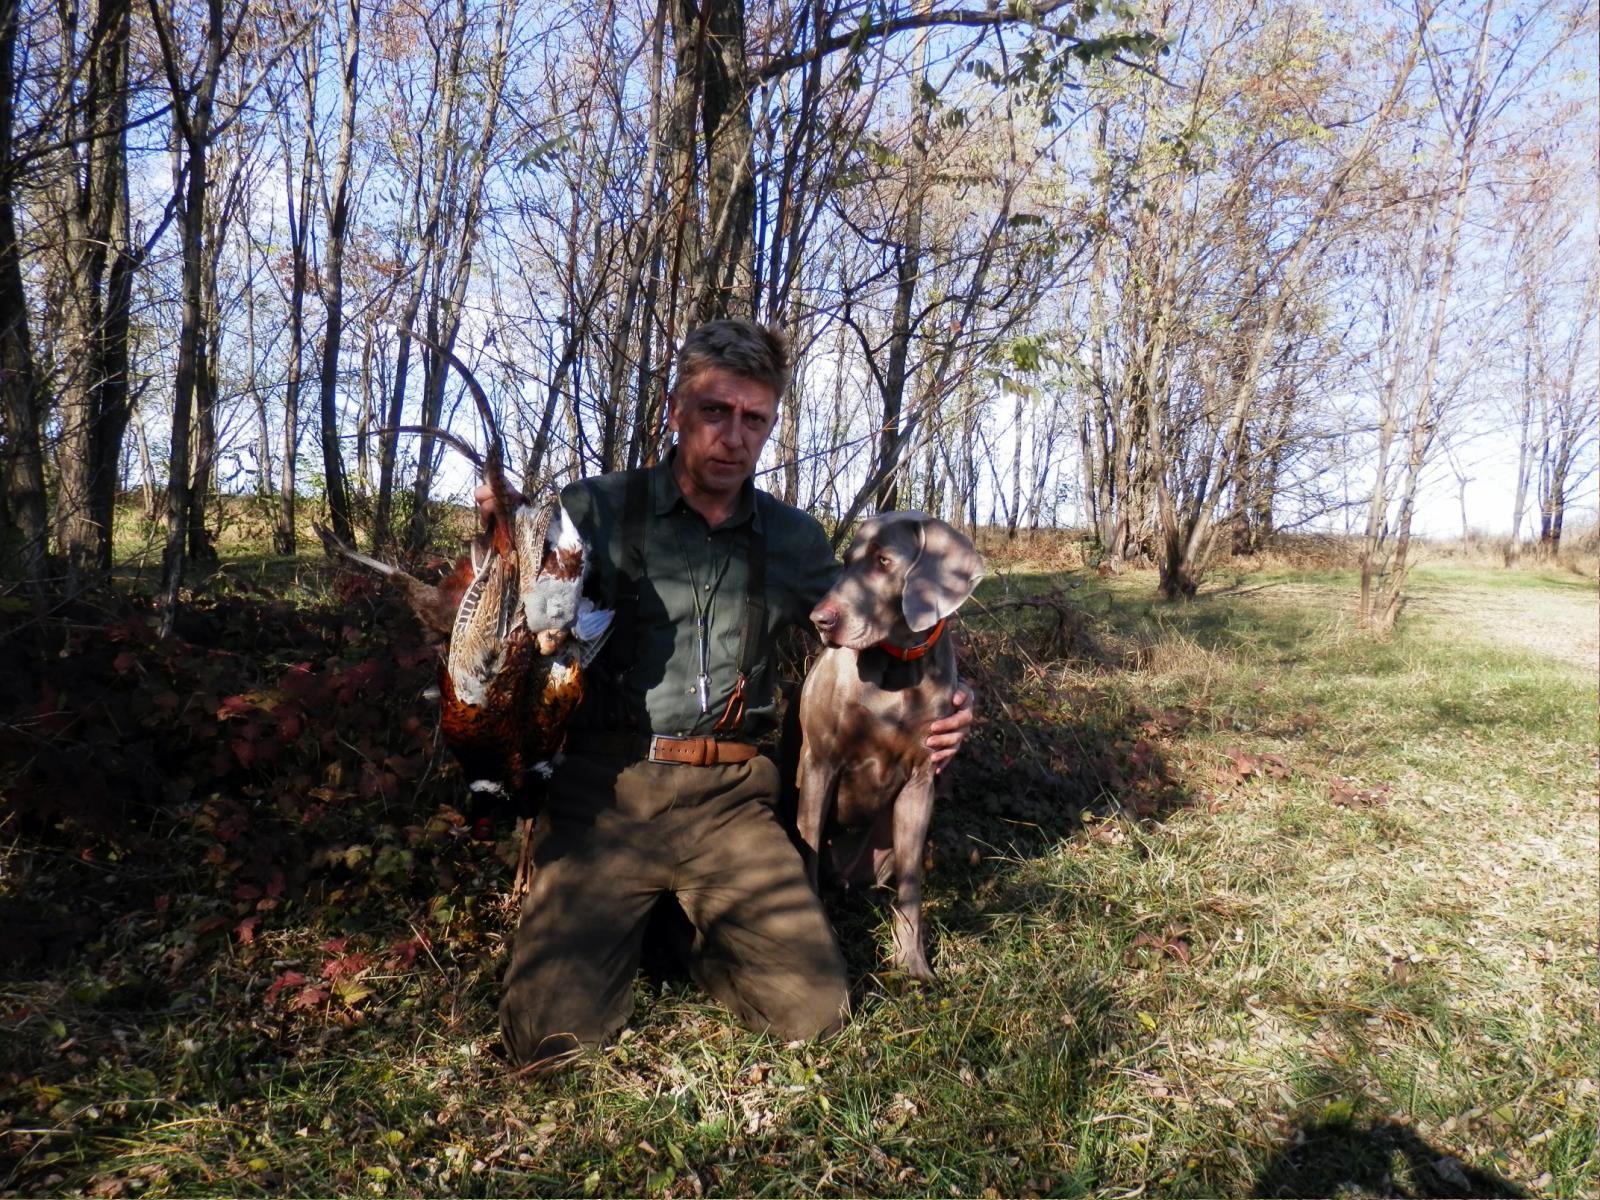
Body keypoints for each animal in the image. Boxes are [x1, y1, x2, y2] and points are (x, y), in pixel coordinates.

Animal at [796, 511, 984, 979]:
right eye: (846, 562)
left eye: (883, 561)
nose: (819, 619)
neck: (898, 665)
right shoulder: (820, 763)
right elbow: (806, 854)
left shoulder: (920, 781)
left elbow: (912, 886)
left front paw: (912, 962)